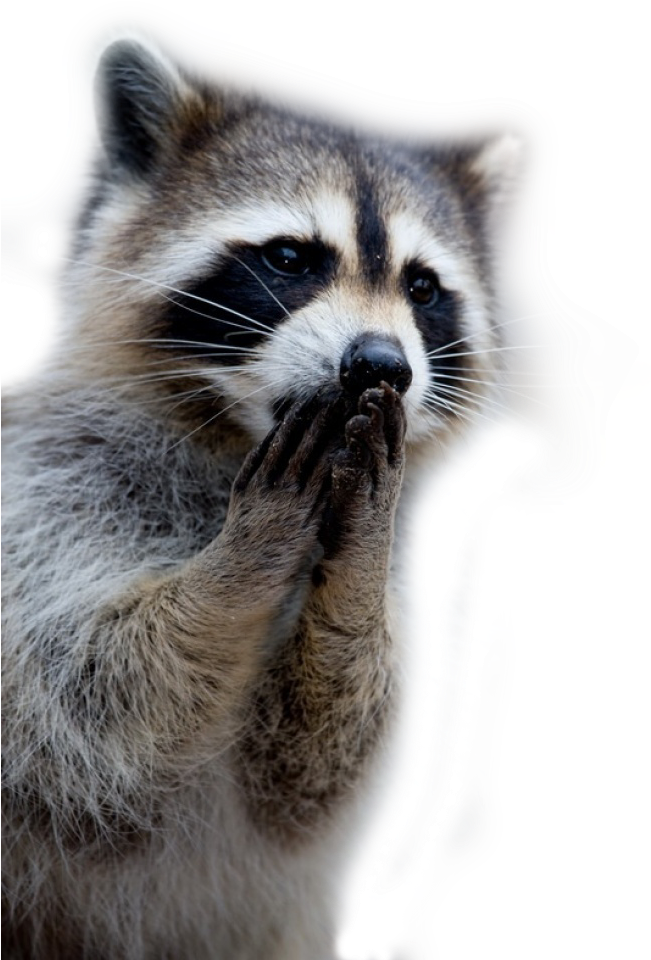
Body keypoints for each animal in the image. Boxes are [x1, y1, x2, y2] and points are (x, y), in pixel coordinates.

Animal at [1, 31, 523, 960]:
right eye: (289, 259)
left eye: (421, 288)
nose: (380, 365)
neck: (238, 444)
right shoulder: (50, 497)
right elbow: (88, 709)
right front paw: (243, 561)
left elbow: (312, 768)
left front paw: (348, 578)